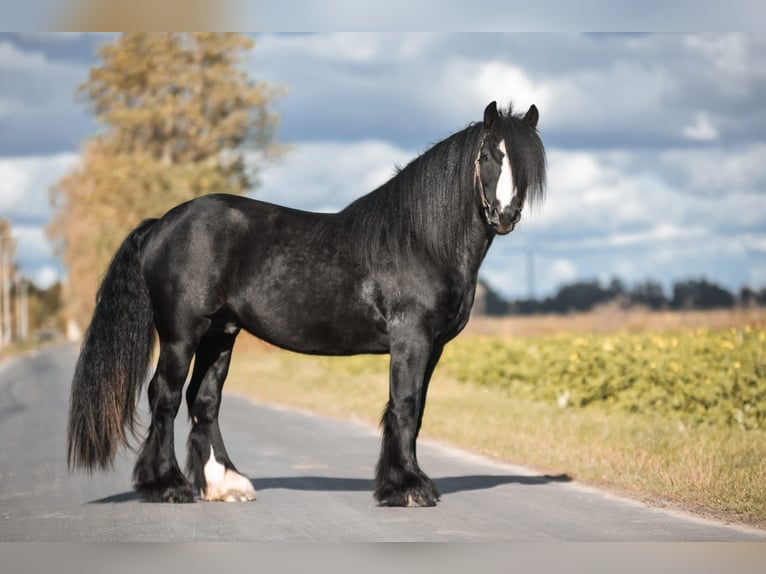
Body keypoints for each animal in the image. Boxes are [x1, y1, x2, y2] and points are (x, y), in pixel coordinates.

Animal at [66, 101, 544, 506]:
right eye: (488, 157)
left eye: (526, 163)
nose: (505, 215)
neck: (419, 240)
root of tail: (161, 224)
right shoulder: (411, 340)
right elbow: (405, 406)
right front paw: (408, 488)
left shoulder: (434, 346)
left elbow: (417, 408)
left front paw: (401, 482)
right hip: (182, 333)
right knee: (164, 396)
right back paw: (167, 486)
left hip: (220, 333)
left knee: (204, 400)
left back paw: (225, 484)